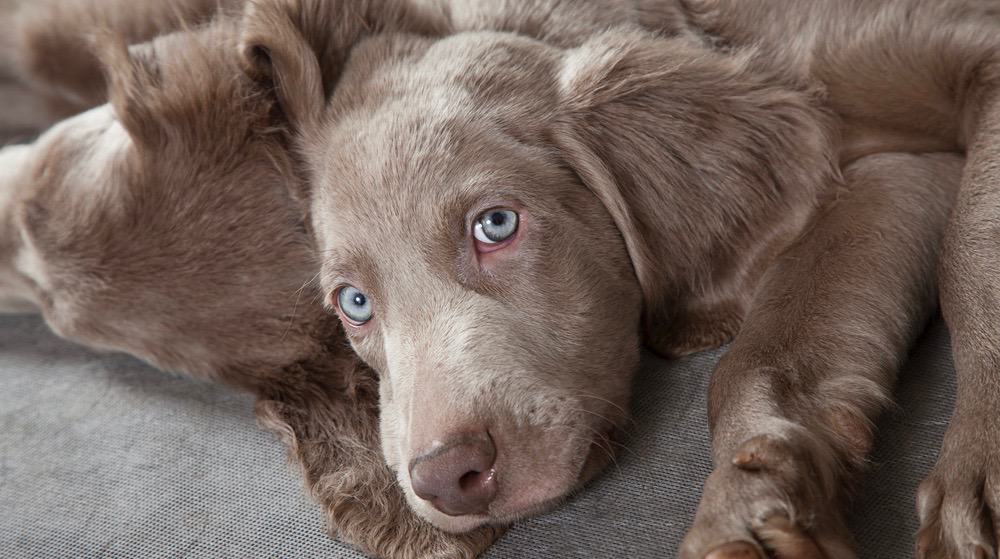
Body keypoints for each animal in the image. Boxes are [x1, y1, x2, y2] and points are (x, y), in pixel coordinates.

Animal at [240, 0, 992, 556]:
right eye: (355, 302)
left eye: (495, 225)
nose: (446, 479)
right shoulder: (896, 169)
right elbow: (761, 353)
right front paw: (754, 507)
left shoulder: (975, 49)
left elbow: (969, 251)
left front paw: (977, 483)